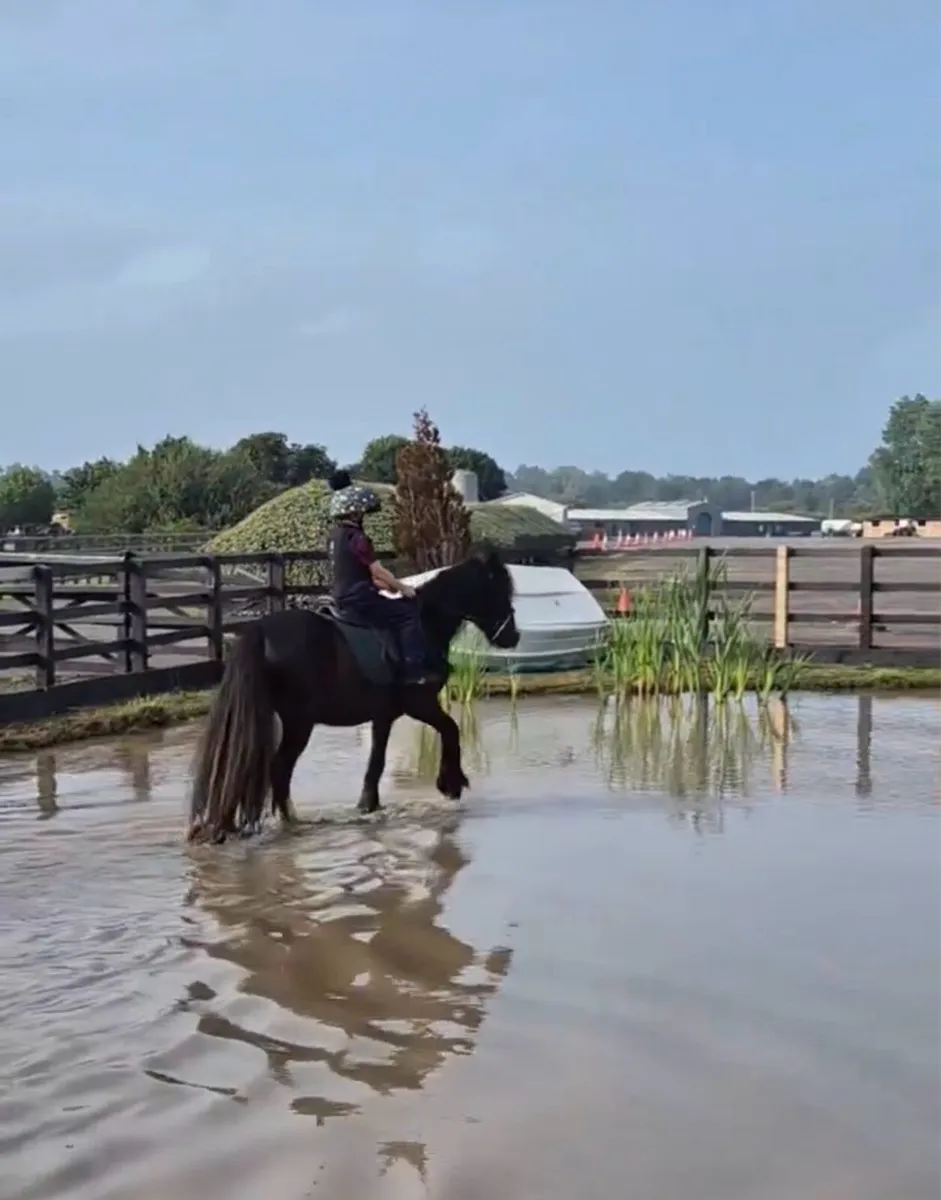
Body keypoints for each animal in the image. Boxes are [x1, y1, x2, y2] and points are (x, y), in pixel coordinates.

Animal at [187, 546, 519, 842]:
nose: (512, 637)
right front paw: (451, 784)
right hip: (299, 722)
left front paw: (368, 806)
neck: (426, 622)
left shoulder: (384, 715)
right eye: (499, 591)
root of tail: (260, 629)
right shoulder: (419, 703)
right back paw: (294, 822)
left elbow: (377, 761)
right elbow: (451, 729)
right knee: (280, 769)